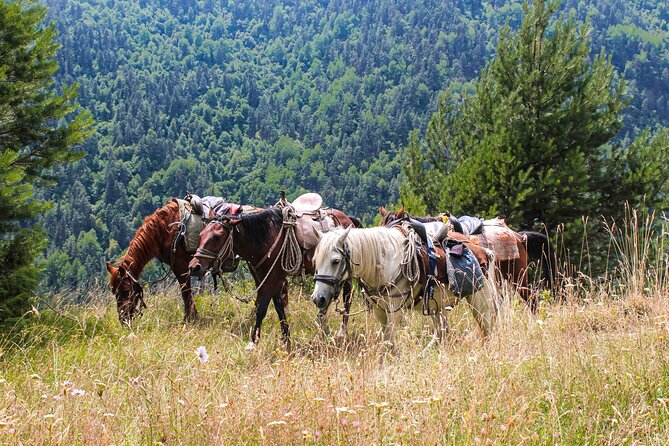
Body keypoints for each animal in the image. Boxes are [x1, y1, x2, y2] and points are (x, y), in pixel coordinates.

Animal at [105, 199, 243, 325]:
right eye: (114, 292)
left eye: (125, 291)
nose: (123, 319)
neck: (164, 231)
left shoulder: (180, 266)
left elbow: (186, 293)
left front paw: (190, 319)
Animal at [188, 206, 358, 351]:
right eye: (201, 235)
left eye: (217, 237)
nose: (194, 267)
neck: (265, 238)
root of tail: (348, 220)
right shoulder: (271, 279)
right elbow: (279, 309)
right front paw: (286, 339)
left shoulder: (271, 279)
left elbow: (261, 308)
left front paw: (253, 343)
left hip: (346, 276)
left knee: (347, 298)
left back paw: (342, 333)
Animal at [311, 226, 498, 350]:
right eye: (315, 261)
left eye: (335, 261)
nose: (318, 298)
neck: (383, 262)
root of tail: (485, 251)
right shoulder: (380, 311)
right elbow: (387, 340)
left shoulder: (394, 310)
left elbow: (391, 341)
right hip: (437, 306)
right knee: (441, 331)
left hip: (480, 300)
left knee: (486, 327)